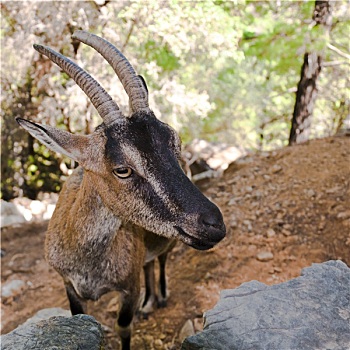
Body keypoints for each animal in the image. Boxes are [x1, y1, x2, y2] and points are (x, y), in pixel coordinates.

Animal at [16, 31, 226, 348]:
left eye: (174, 143)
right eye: (122, 169)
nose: (214, 223)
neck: (88, 258)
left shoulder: (129, 287)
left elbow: (124, 326)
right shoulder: (69, 285)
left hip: (170, 242)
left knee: (160, 259)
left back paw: (158, 297)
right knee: (149, 263)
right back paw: (149, 304)